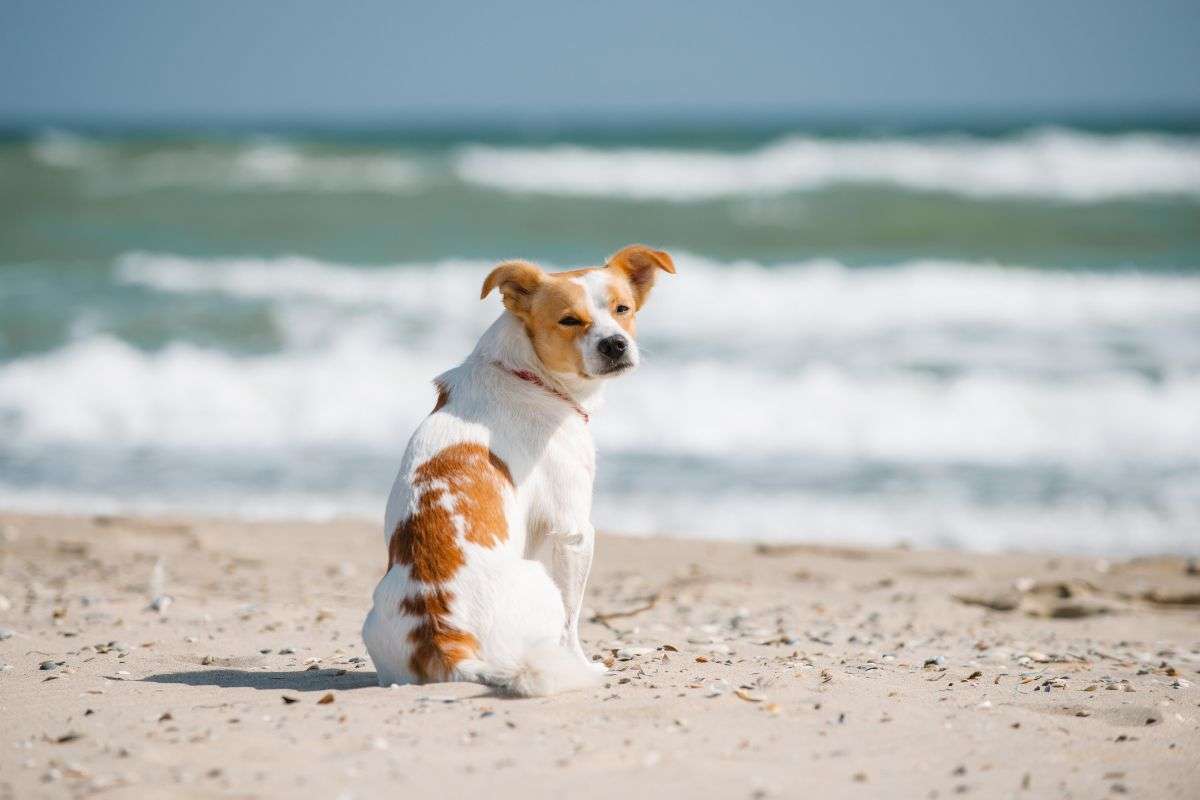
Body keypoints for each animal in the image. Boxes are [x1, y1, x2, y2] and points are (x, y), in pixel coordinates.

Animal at [360, 242, 676, 695]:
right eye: (569, 320)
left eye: (623, 308)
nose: (615, 345)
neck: (527, 375)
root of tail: (447, 640)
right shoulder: (575, 532)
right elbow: (572, 623)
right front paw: (585, 663)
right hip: (542, 580)